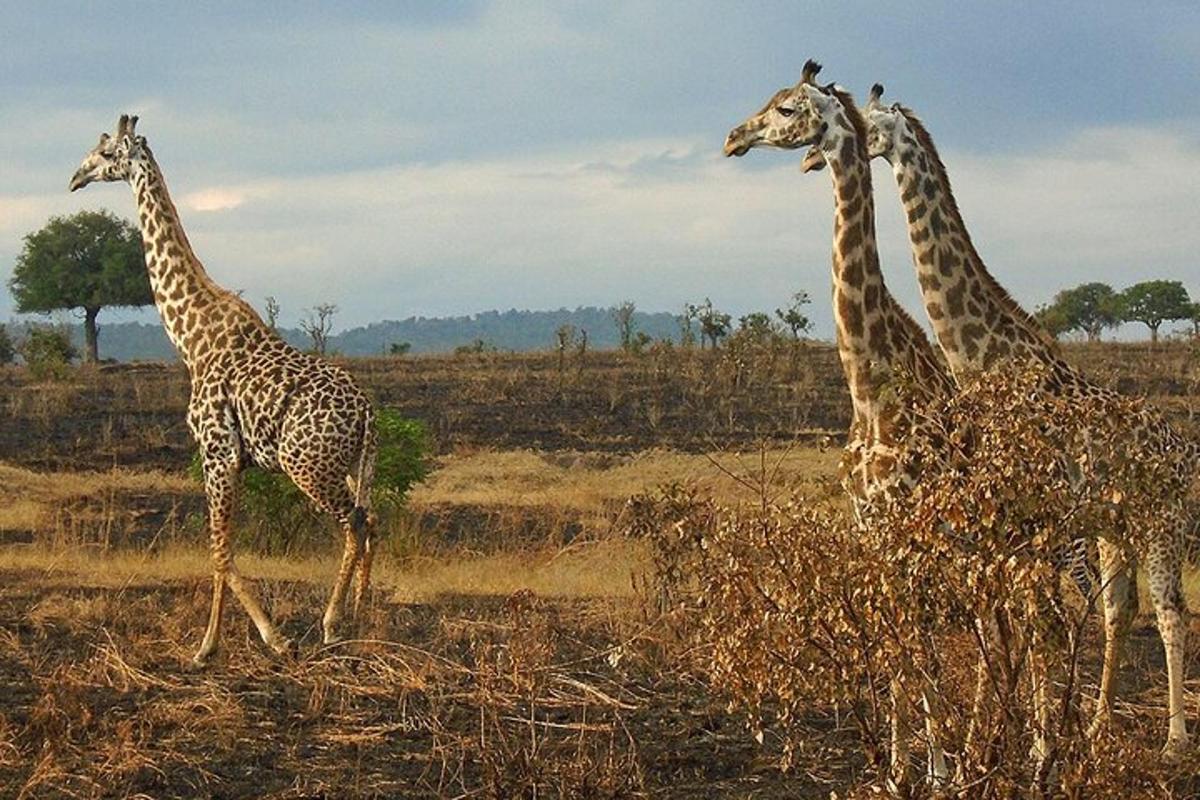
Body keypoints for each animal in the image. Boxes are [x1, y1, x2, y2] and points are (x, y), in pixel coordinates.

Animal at [68, 115, 376, 666]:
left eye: (104, 152)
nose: (75, 177)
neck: (190, 338)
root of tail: (366, 413)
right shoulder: (232, 460)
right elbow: (223, 549)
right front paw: (236, 640)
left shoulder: (216, 452)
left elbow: (218, 550)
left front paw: (221, 645)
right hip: (352, 464)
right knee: (373, 519)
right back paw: (361, 613)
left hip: (307, 465)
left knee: (355, 524)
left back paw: (332, 623)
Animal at [720, 62, 955, 786]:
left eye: (786, 107)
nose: (733, 137)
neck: (870, 391)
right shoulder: (869, 527)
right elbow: (895, 639)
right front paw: (899, 768)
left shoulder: (907, 529)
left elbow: (916, 643)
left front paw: (933, 772)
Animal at [868, 87, 1195, 758]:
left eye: (874, 125)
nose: (855, 148)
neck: (986, 360)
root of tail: (1186, 451)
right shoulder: (1017, 522)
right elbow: (1023, 619)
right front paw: (1015, 734)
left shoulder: (1034, 518)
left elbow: (1035, 620)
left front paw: (1028, 739)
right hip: (1116, 527)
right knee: (1121, 609)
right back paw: (1098, 723)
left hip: (1163, 523)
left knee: (1171, 612)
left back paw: (1174, 738)